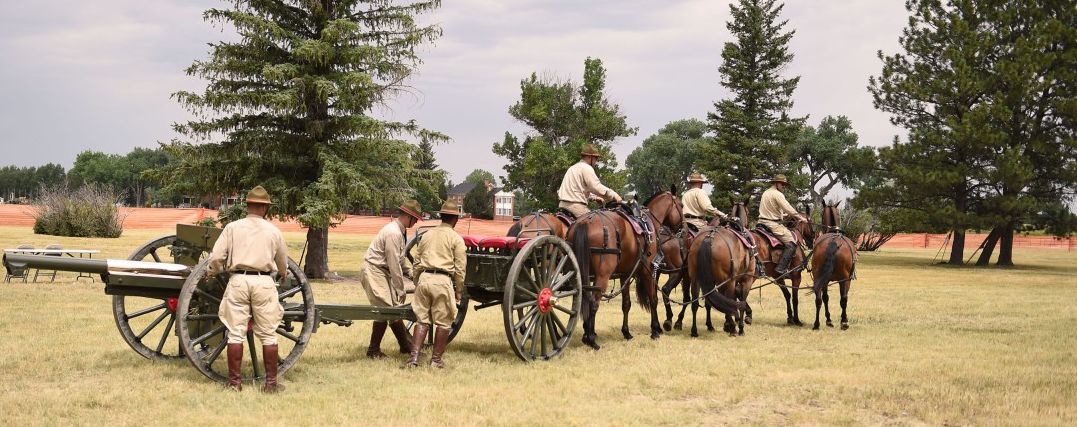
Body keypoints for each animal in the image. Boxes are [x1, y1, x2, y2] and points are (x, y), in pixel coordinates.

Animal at [564, 190, 680, 349]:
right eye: (681, 205)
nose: (683, 228)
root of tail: (584, 222)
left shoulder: (625, 274)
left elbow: (626, 304)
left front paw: (627, 333)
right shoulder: (648, 271)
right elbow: (653, 299)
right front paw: (655, 330)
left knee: (583, 300)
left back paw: (588, 334)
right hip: (602, 276)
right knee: (593, 303)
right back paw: (592, 340)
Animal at [809, 200, 857, 329]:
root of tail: (833, 241)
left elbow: (825, 298)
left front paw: (829, 319)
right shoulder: (846, 280)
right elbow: (843, 298)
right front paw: (842, 318)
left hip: (818, 277)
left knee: (818, 299)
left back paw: (816, 324)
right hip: (844, 279)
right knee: (843, 299)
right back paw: (843, 322)